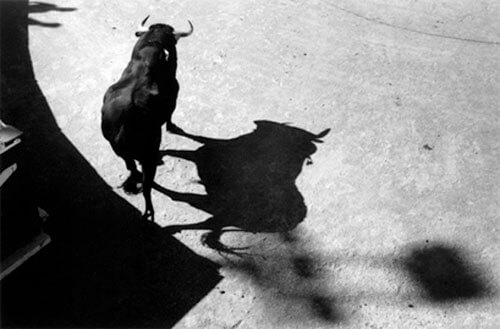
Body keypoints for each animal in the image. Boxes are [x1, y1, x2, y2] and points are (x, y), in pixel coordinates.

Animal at [101, 16, 193, 219]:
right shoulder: (174, 97)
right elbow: (170, 116)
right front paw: (172, 127)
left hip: (122, 153)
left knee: (133, 170)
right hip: (149, 156)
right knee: (147, 186)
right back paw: (149, 213)